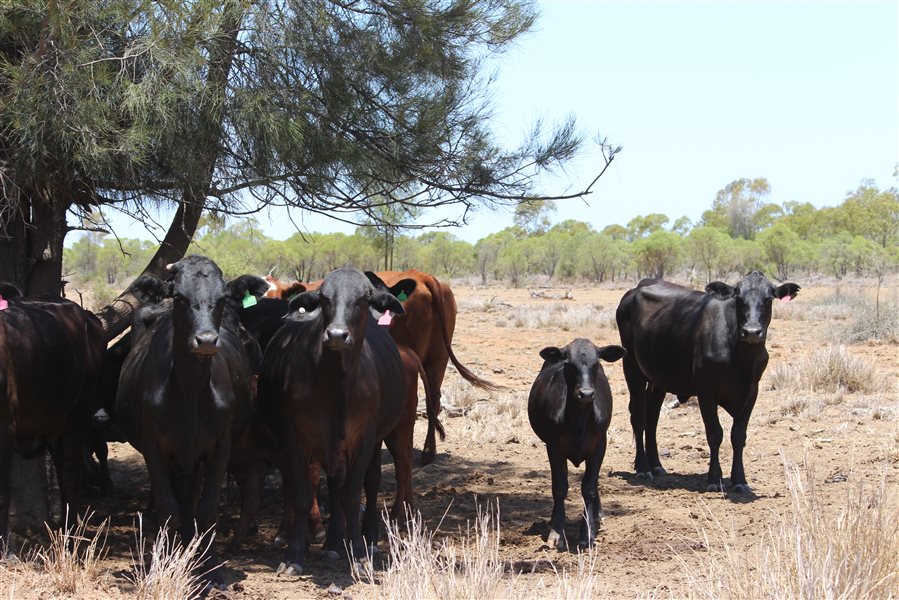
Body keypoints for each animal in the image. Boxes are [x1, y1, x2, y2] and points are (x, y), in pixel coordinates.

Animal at [115, 255, 268, 584]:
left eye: (221, 299)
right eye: (180, 298)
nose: (207, 340)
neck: (190, 393)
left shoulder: (219, 446)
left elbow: (206, 508)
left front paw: (209, 567)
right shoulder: (153, 446)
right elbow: (167, 507)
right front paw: (163, 563)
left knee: (190, 499)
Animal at [258, 267, 412, 575]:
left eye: (363, 298)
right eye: (324, 298)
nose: (338, 334)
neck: (336, 388)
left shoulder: (363, 441)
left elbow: (352, 496)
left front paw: (360, 556)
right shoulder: (295, 441)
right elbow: (303, 494)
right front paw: (293, 556)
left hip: (376, 440)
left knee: (368, 483)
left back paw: (360, 539)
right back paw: (331, 543)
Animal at [528, 338, 626, 551]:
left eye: (596, 363)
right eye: (569, 364)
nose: (586, 394)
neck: (579, 421)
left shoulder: (599, 446)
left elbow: (588, 488)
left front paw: (587, 534)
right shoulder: (554, 447)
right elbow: (559, 488)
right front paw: (556, 533)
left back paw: (597, 516)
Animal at [615, 271, 800, 493]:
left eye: (769, 299)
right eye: (738, 299)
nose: (752, 331)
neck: (741, 358)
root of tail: (637, 288)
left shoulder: (751, 393)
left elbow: (738, 435)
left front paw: (740, 480)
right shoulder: (706, 392)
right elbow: (714, 433)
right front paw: (714, 478)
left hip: (657, 379)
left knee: (652, 417)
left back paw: (657, 465)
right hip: (631, 367)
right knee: (638, 415)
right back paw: (643, 467)